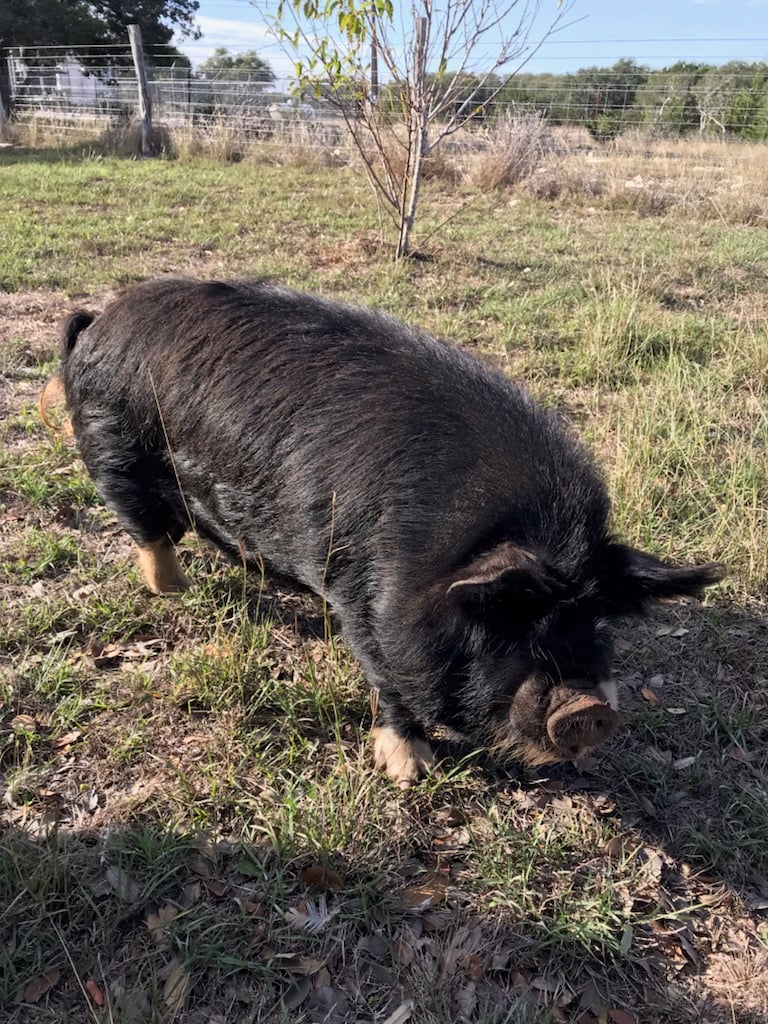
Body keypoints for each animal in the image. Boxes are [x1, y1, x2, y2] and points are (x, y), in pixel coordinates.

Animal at [42, 277, 723, 786]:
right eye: (505, 614)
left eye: (596, 620)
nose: (587, 706)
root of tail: (98, 322)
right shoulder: (361, 596)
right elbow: (390, 683)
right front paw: (410, 773)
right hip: (114, 451)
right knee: (148, 533)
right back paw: (173, 589)